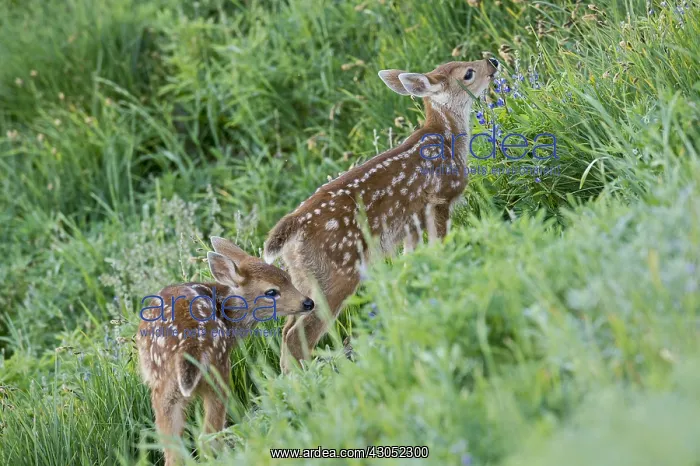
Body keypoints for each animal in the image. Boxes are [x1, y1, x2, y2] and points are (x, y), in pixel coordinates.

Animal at [136, 236, 315, 466]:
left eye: (288, 278)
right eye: (271, 291)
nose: (308, 302)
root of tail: (190, 345)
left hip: (164, 387)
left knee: (175, 450)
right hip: (218, 368)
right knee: (207, 437)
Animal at [263, 58, 499, 373]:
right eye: (468, 73)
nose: (492, 61)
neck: (448, 137)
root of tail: (294, 225)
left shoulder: (411, 223)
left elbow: (411, 263)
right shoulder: (440, 199)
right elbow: (440, 246)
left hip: (303, 276)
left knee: (287, 328)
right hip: (337, 272)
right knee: (297, 334)